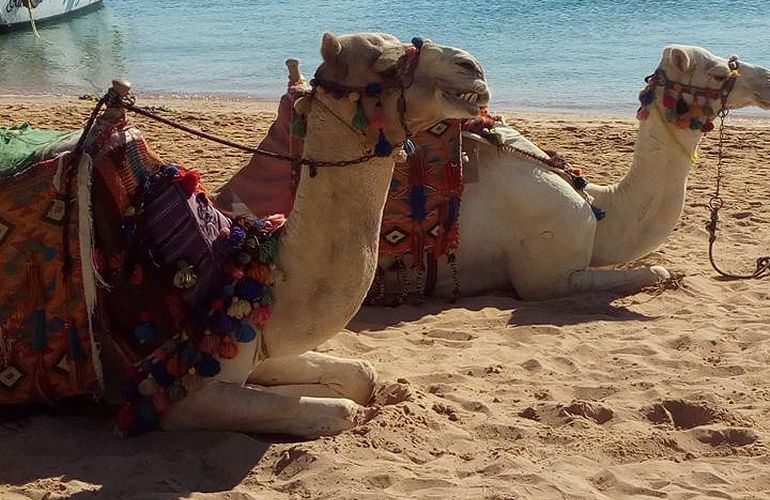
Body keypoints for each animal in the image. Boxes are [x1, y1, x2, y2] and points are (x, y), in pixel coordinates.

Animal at [141, 33, 488, 436]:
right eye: (387, 66)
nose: (472, 66)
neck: (250, 273)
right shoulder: (180, 397)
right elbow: (342, 410)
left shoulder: (258, 344)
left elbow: (362, 375)